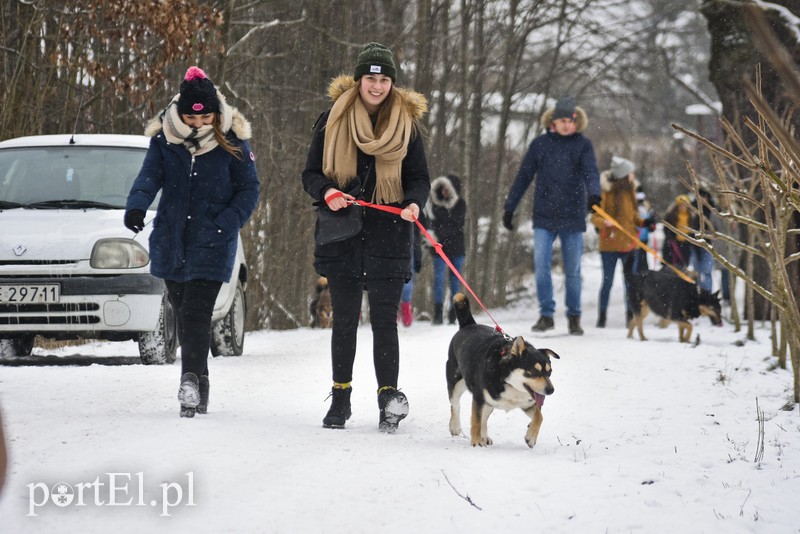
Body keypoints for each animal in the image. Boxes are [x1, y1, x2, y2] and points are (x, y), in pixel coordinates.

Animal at [446, 294, 560, 448]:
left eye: (549, 372)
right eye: (533, 372)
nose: (550, 390)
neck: (508, 381)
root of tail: (469, 324)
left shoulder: (528, 403)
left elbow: (539, 416)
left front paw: (531, 437)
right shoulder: (479, 398)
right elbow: (475, 421)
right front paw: (475, 442)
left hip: (490, 403)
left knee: (484, 419)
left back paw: (484, 437)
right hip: (456, 383)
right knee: (455, 406)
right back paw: (455, 427)